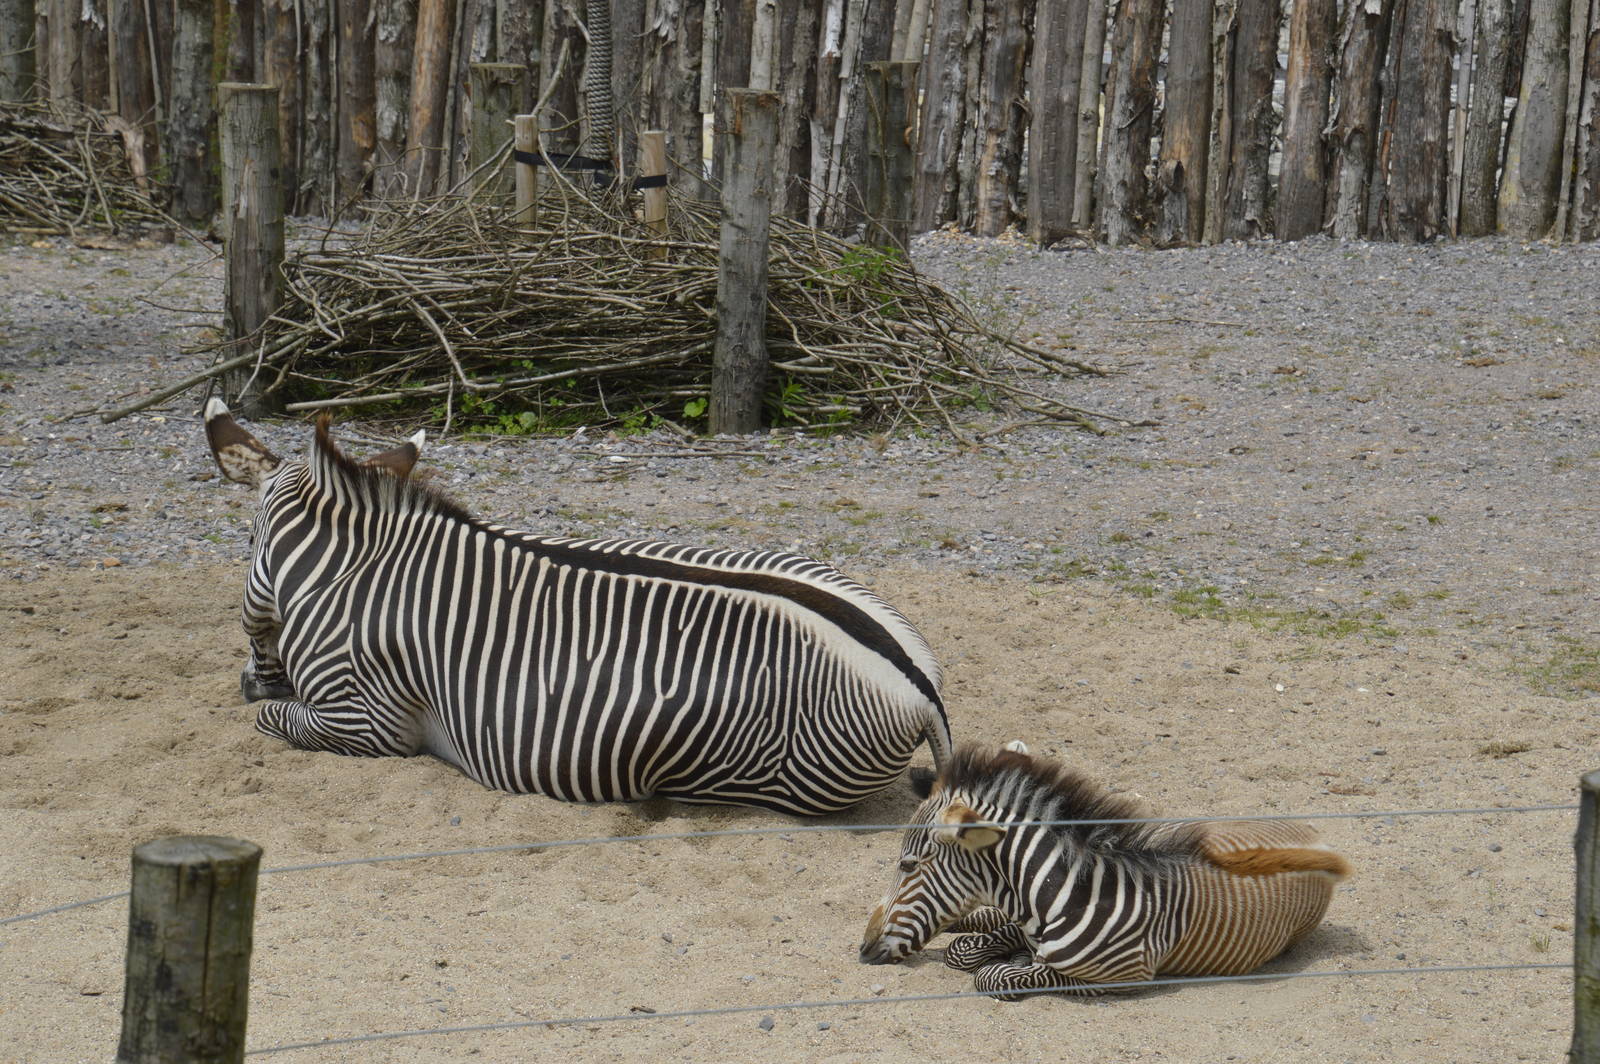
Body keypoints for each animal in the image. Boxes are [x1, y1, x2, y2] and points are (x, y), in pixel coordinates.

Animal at [202, 400, 950, 815]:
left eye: (247, 543)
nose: (247, 678)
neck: (347, 573)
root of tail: (922, 687)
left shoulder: (366, 725)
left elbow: (270, 720)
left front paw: (261, 703)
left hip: (748, 771)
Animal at [859, 743, 1349, 998]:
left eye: (908, 864)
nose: (863, 950)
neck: (1058, 895)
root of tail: (1314, 837)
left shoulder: (1118, 977)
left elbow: (992, 974)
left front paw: (1006, 960)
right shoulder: (1019, 917)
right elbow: (969, 948)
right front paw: (983, 938)